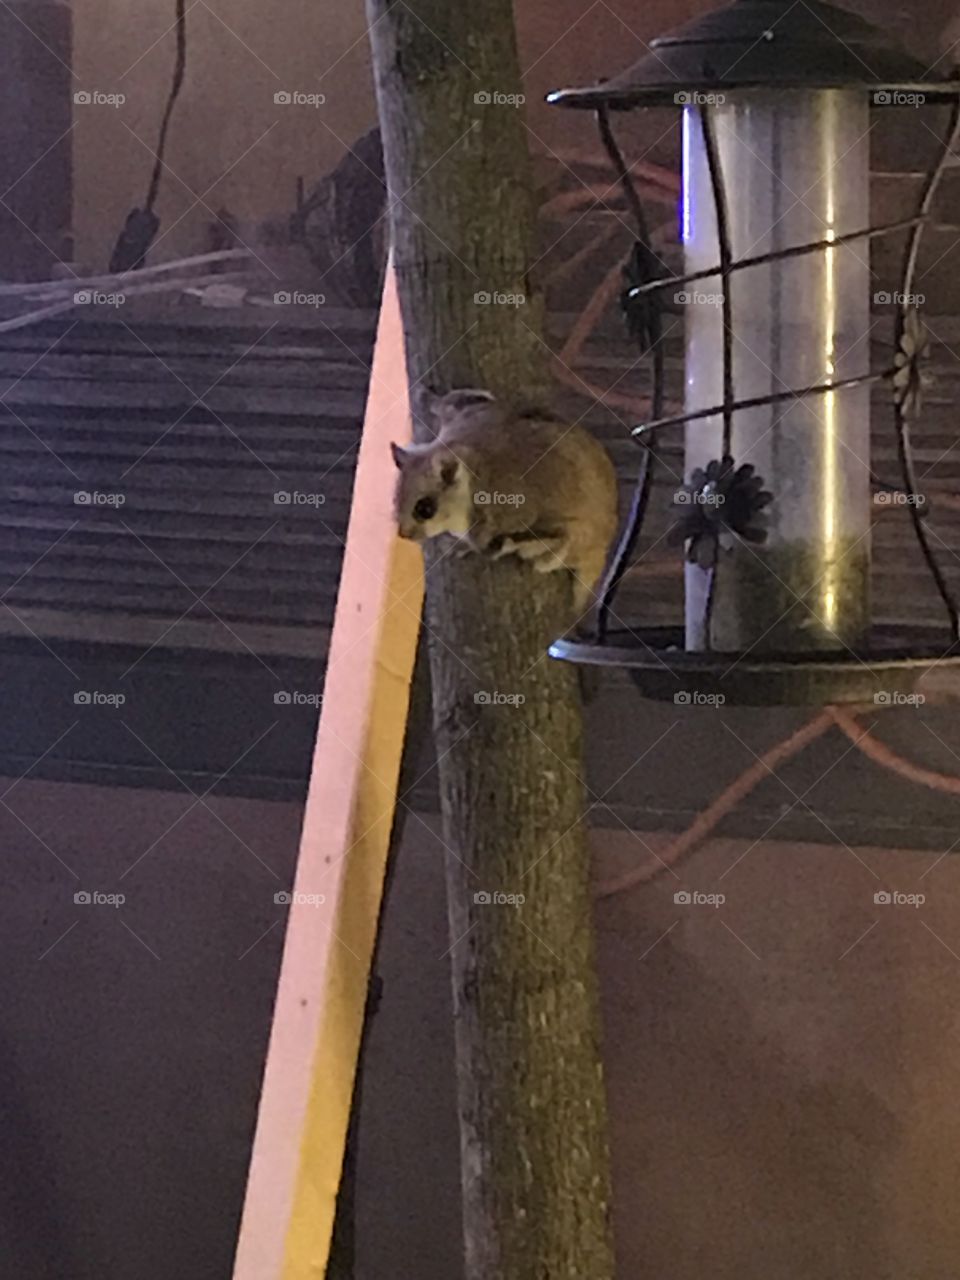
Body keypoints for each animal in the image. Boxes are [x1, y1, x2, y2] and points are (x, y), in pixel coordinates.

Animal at [391, 388, 619, 620]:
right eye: (395, 500)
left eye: (425, 509)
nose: (404, 534)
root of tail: (599, 552)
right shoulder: (470, 413)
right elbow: (447, 403)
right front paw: (425, 396)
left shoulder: (502, 514)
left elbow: (481, 545)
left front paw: (460, 547)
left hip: (564, 540)